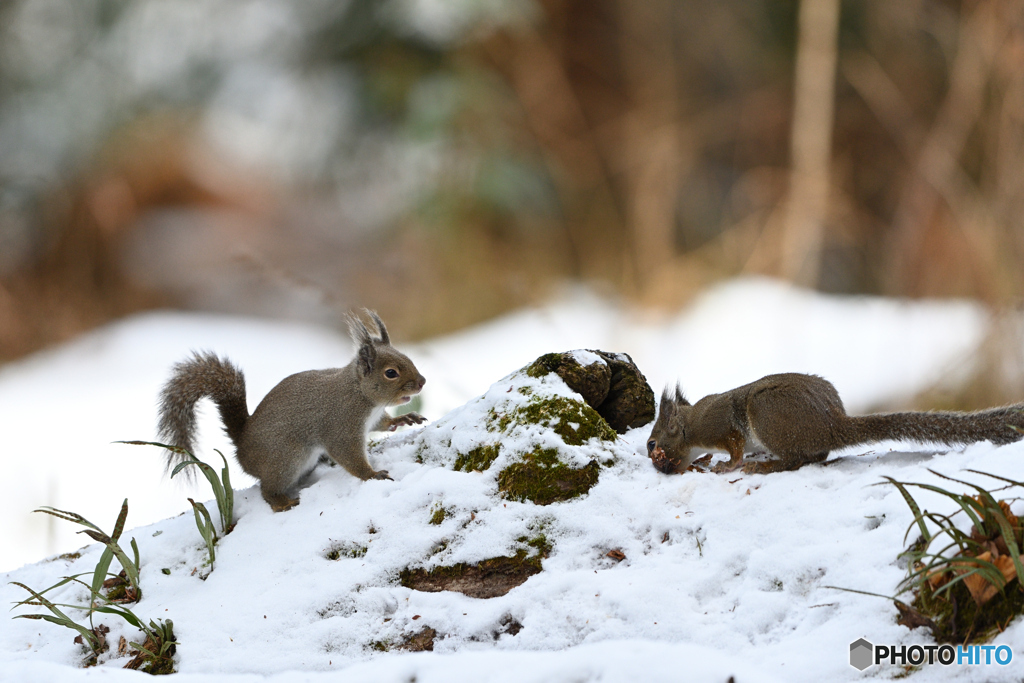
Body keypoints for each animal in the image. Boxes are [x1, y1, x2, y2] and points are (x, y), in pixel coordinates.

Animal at [154, 313, 423, 509]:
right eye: (391, 373)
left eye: (408, 358)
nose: (422, 382)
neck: (361, 395)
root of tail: (242, 447)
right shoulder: (341, 424)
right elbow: (348, 455)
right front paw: (372, 474)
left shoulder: (372, 419)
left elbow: (383, 424)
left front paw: (404, 418)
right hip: (286, 459)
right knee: (267, 489)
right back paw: (282, 503)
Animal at [647, 374, 1024, 475]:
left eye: (651, 444)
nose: (655, 462)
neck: (691, 425)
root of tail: (832, 424)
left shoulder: (720, 426)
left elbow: (736, 448)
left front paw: (728, 465)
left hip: (765, 414)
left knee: (797, 459)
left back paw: (765, 466)